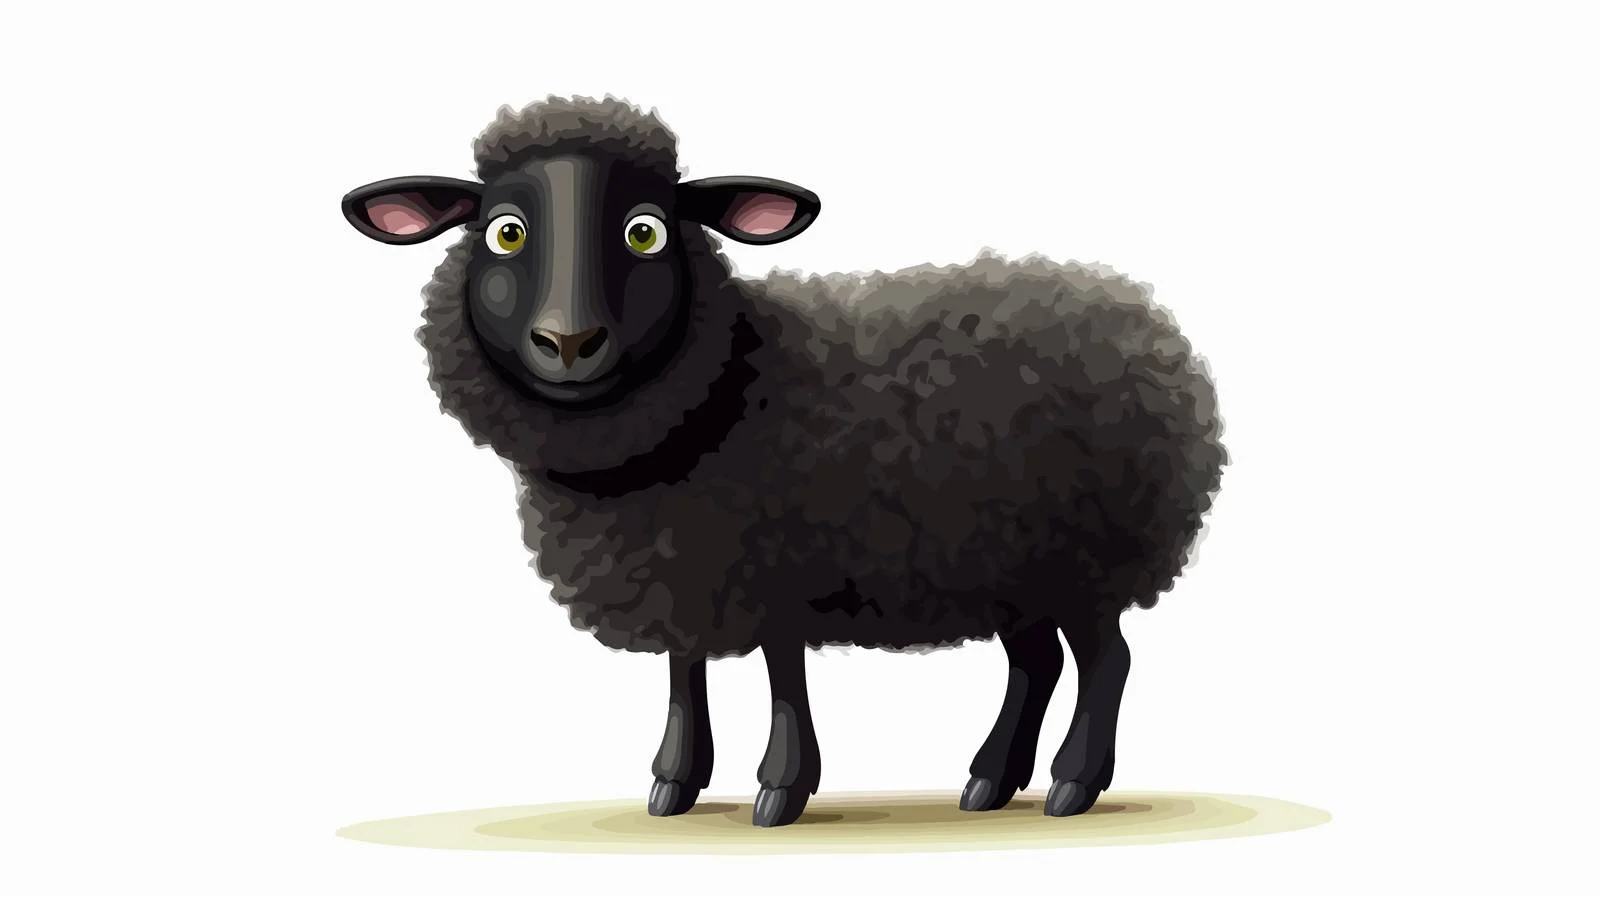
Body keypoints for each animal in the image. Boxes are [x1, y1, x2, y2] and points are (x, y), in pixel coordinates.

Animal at [340, 95, 1227, 828]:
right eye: (505, 231)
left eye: (644, 229)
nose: (568, 340)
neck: (722, 387)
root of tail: (1148, 321)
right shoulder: (685, 561)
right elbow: (684, 669)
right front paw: (675, 780)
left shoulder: (777, 562)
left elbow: (782, 677)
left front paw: (781, 788)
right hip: (1011, 559)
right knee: (1037, 664)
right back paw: (989, 780)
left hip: (1091, 555)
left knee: (1106, 660)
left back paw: (1072, 784)